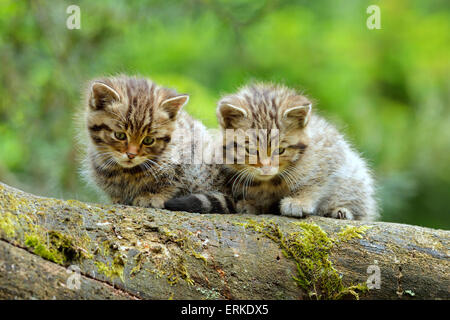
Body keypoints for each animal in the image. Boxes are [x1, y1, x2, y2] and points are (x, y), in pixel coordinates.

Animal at [216, 84, 378, 221]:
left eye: (280, 150)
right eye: (250, 150)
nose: (266, 169)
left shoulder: (330, 153)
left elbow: (314, 182)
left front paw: (299, 201)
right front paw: (253, 204)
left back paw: (341, 211)